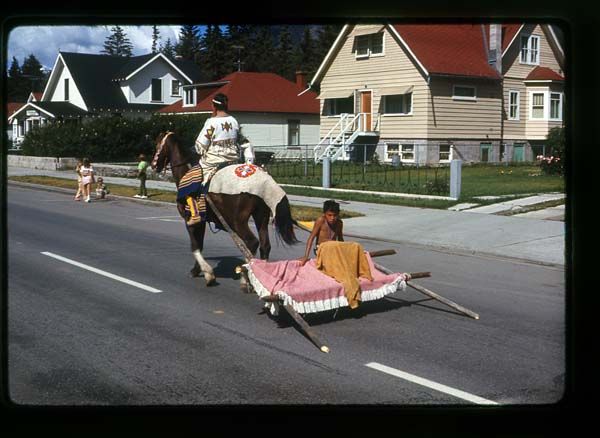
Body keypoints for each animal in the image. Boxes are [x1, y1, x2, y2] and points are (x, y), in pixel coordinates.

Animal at [151, 130, 298, 288]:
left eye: (158, 144)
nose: (153, 165)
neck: (186, 170)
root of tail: (266, 182)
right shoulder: (203, 221)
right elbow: (199, 244)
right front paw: (198, 270)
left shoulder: (190, 219)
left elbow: (195, 245)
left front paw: (206, 273)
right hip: (261, 218)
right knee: (265, 246)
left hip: (238, 222)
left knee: (252, 242)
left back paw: (245, 278)